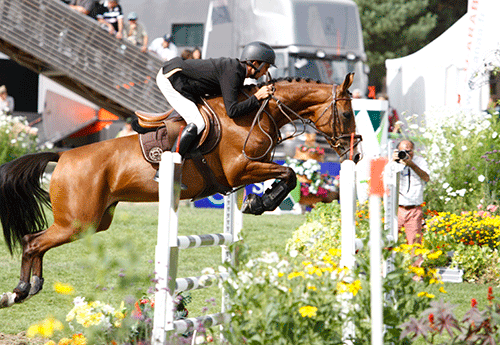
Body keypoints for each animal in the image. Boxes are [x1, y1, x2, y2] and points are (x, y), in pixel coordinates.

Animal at [0, 72, 362, 306]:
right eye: (346, 113)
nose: (356, 155)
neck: (255, 114)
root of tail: (62, 154)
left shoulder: (247, 171)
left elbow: (288, 174)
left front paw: (260, 202)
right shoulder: (240, 169)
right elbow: (290, 173)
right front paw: (262, 203)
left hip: (94, 221)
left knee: (37, 241)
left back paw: (31, 287)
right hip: (78, 221)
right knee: (32, 241)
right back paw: (20, 289)